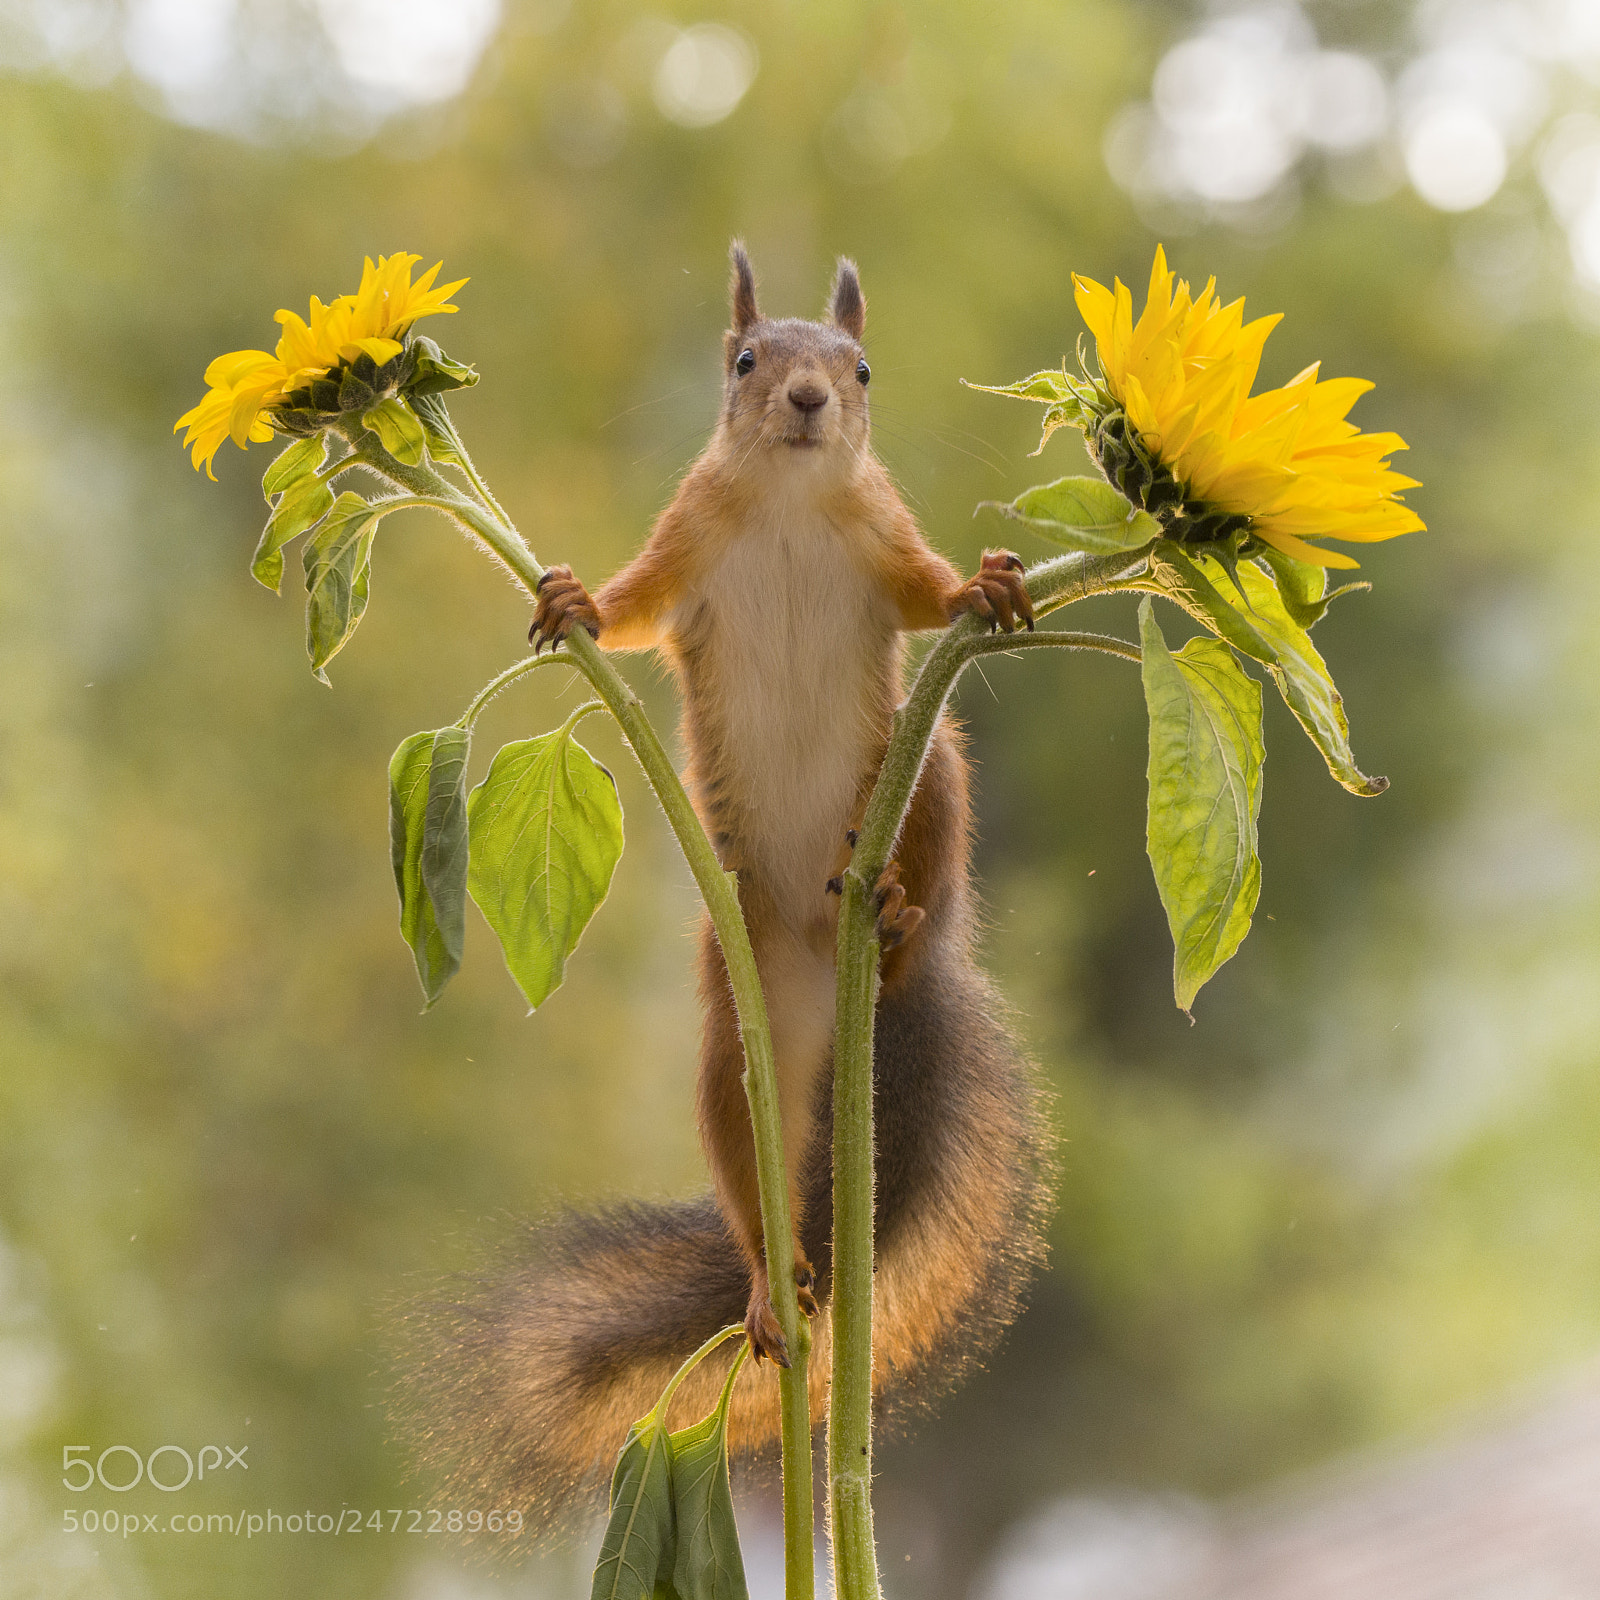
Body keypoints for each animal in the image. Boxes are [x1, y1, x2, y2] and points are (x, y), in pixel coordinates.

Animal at [397, 244, 1053, 1531]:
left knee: (934, 842)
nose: (805, 400)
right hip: (733, 1019)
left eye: (861, 369)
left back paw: (900, 915)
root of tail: (827, 963)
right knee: (748, 1153)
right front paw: (572, 602)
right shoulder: (684, 539)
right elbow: (632, 606)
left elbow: (930, 595)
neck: (792, 504)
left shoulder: (886, 542)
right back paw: (769, 1280)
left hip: (924, 766)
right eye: (745, 360)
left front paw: (987, 584)